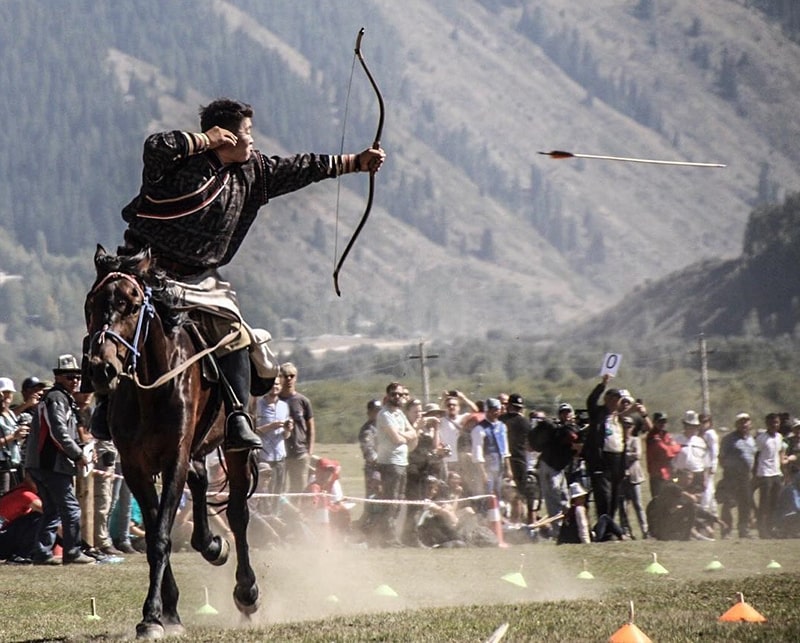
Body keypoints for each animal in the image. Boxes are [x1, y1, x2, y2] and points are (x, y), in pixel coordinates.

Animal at [84, 245, 260, 640]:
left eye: (133, 304)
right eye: (91, 303)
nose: (101, 369)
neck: (152, 388)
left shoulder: (173, 459)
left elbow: (162, 535)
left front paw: (152, 616)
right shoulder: (135, 466)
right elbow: (153, 534)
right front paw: (166, 613)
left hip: (234, 449)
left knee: (238, 513)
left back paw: (247, 592)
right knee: (201, 482)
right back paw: (211, 546)